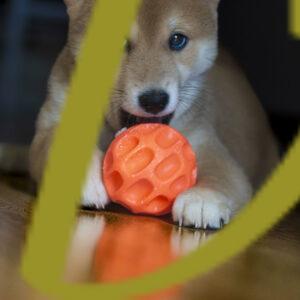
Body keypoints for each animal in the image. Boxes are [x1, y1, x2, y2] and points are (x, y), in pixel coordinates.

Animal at [28, 0, 278, 229]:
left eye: (177, 40)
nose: (154, 100)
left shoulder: (207, 144)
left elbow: (221, 175)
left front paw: (203, 198)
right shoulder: (53, 120)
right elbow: (55, 143)